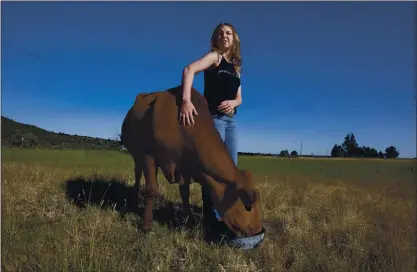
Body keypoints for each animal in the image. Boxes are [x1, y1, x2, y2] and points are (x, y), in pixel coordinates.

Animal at [121, 85, 264, 238]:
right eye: (248, 207)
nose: (257, 230)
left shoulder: (185, 165)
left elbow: (185, 192)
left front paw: (186, 219)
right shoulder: (149, 155)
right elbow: (152, 189)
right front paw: (146, 225)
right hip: (137, 154)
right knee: (137, 173)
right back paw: (134, 199)